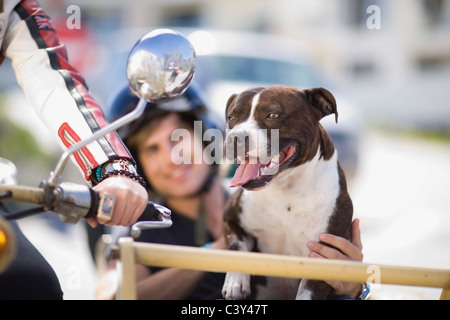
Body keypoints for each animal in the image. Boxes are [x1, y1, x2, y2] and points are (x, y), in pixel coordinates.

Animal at [221, 84, 356, 300]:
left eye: (273, 114)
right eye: (232, 118)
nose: (236, 138)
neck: (285, 189)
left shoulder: (324, 255)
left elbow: (307, 292)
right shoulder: (230, 218)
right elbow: (237, 244)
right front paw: (236, 280)